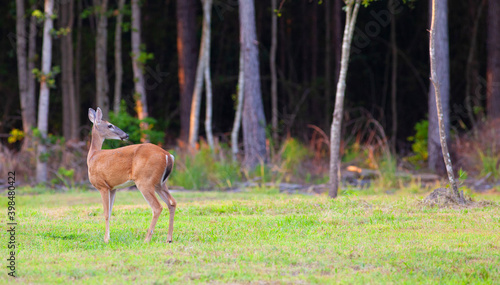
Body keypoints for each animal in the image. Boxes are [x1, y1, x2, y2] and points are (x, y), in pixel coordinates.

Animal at [87, 106, 177, 242]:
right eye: (110, 125)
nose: (126, 135)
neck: (92, 156)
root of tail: (167, 155)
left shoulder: (102, 185)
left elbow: (106, 213)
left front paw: (106, 239)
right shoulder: (112, 188)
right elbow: (110, 212)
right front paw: (108, 237)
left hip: (144, 181)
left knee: (157, 207)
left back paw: (147, 239)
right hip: (161, 183)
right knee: (172, 203)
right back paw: (169, 239)